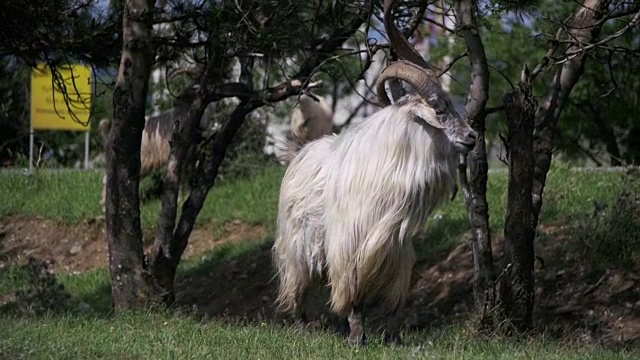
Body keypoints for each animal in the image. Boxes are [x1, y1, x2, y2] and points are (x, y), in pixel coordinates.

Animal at [272, 0, 478, 346]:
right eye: (439, 109)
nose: (472, 137)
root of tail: (299, 153)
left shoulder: (397, 250)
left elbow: (394, 303)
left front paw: (393, 339)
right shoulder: (351, 248)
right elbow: (353, 298)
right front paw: (358, 339)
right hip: (299, 245)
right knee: (299, 286)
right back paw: (303, 327)